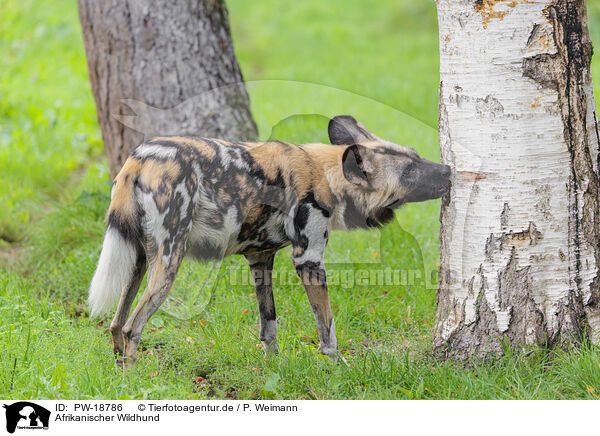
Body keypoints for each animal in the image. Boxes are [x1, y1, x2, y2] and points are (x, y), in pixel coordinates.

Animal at [88, 115, 450, 368]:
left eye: (417, 157)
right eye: (409, 171)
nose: (447, 170)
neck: (327, 174)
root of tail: (140, 158)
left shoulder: (260, 260)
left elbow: (269, 326)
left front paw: (274, 369)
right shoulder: (309, 261)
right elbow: (328, 330)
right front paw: (341, 368)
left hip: (138, 261)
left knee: (116, 324)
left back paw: (121, 379)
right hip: (168, 264)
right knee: (132, 327)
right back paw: (136, 381)